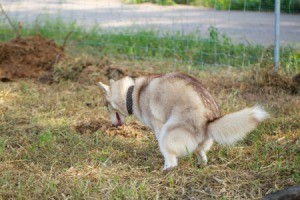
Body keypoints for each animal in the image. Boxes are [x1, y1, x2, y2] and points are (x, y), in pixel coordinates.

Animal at [99, 73, 270, 170]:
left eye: (106, 106)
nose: (112, 124)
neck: (133, 92)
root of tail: (208, 121)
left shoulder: (158, 126)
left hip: (167, 132)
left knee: (172, 160)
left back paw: (166, 169)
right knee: (201, 152)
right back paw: (201, 164)